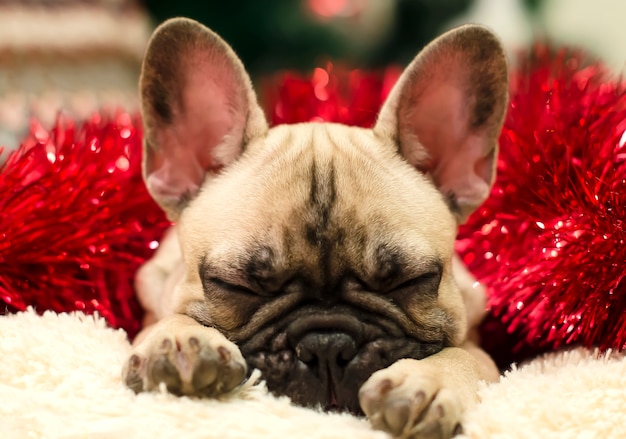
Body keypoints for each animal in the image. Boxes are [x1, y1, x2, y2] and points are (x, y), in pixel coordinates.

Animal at [123, 17, 508, 439]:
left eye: (409, 282)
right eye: (236, 286)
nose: (327, 344)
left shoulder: (480, 346)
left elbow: (461, 355)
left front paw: (430, 382)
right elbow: (169, 318)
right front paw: (179, 339)